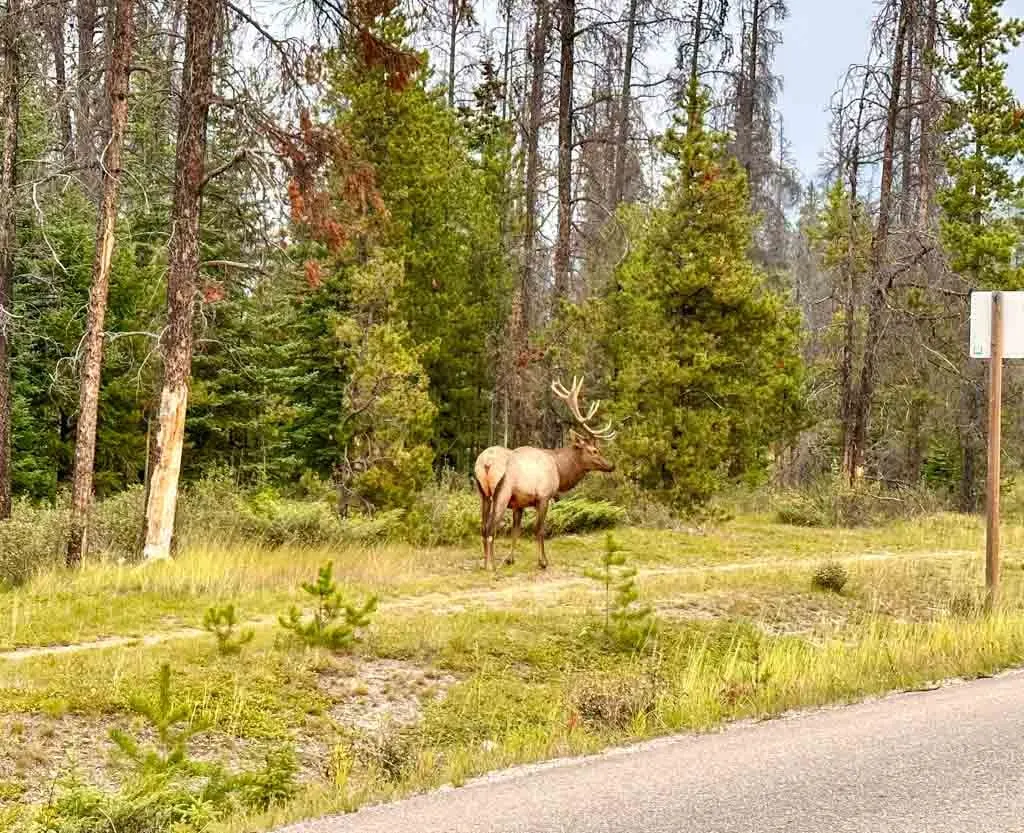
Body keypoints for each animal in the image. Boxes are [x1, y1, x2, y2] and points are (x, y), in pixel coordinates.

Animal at [471, 379, 614, 569]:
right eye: (594, 451)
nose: (611, 465)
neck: (559, 469)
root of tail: (486, 462)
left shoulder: (519, 503)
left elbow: (516, 530)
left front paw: (510, 559)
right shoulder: (544, 496)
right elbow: (539, 529)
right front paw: (543, 561)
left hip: (483, 493)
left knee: (482, 526)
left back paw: (484, 562)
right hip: (502, 492)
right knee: (490, 528)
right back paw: (491, 566)